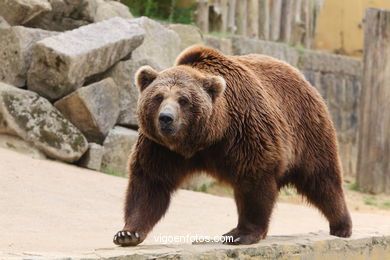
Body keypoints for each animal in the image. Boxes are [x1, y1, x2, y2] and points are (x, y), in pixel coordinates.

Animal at [112, 45, 350, 246]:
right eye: (158, 97)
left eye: (183, 100)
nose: (166, 118)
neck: (205, 139)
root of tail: (302, 77)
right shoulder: (160, 148)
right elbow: (150, 183)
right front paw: (127, 233)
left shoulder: (244, 133)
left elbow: (254, 181)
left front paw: (240, 234)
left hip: (307, 132)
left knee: (322, 179)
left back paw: (342, 226)